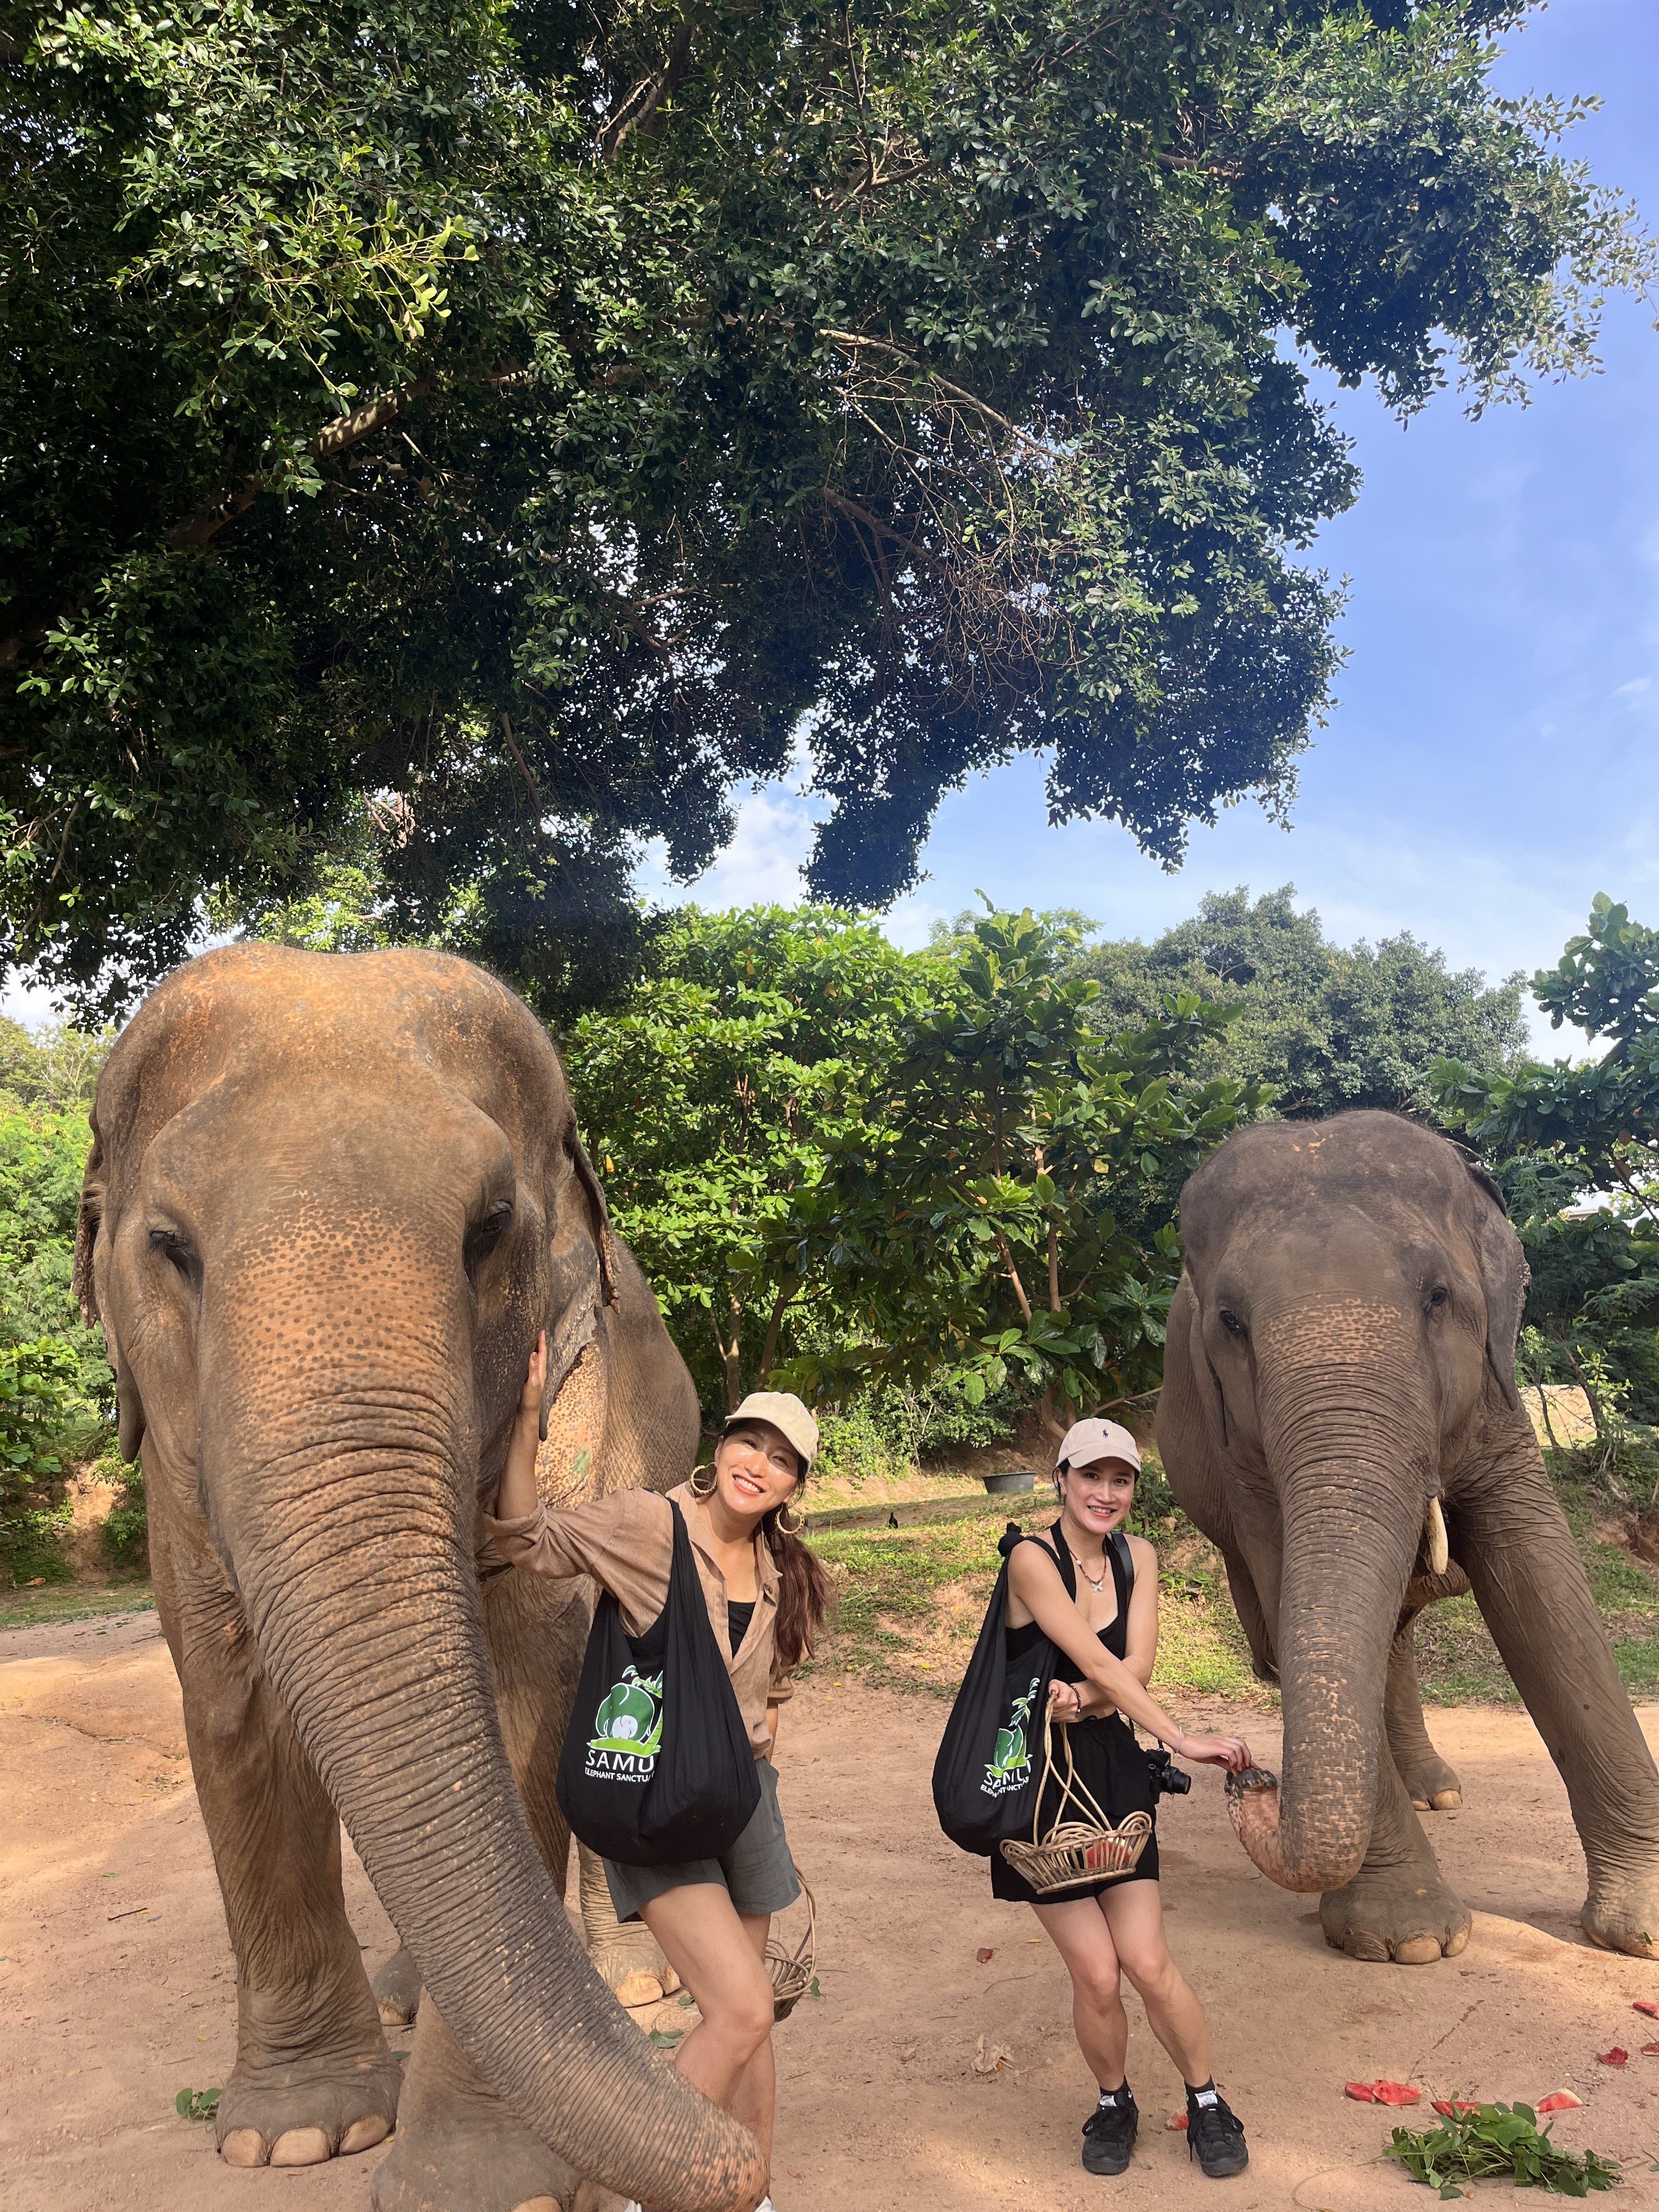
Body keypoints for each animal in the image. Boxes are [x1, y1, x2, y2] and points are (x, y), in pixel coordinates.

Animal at [75, 943, 766, 2212]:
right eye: (171, 1248)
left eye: (488, 1229)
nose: (736, 2151)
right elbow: (230, 1694)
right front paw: (298, 2138)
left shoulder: (573, 1396)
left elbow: (527, 1675)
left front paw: (486, 2187)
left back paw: (629, 1988)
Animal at [1157, 1109, 1659, 1967]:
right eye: (1229, 1323)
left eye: (1438, 1296)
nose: (1253, 1785)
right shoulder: (1240, 1461)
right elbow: (1290, 1583)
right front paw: (1410, 1942)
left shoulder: (1497, 1402)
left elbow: (1544, 1584)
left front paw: (1642, 1928)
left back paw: (1438, 1793)